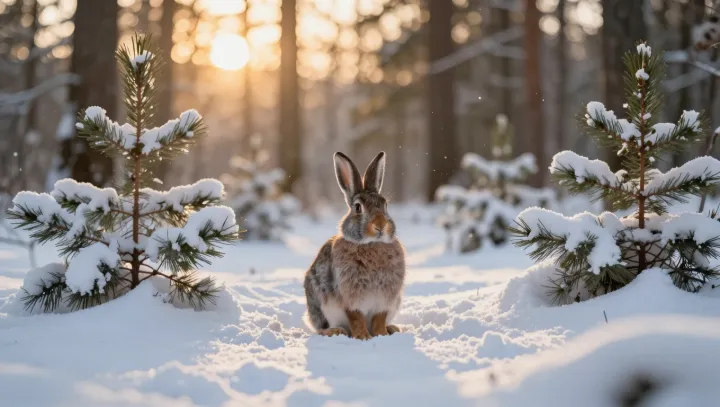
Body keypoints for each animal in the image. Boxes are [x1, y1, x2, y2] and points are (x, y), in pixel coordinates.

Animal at [303, 151, 405, 340]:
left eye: (385, 205)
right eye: (358, 208)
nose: (380, 225)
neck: (371, 244)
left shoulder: (384, 301)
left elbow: (379, 319)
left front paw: (381, 335)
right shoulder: (349, 298)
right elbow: (356, 318)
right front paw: (363, 337)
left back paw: (392, 328)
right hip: (319, 303)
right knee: (320, 328)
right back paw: (335, 331)